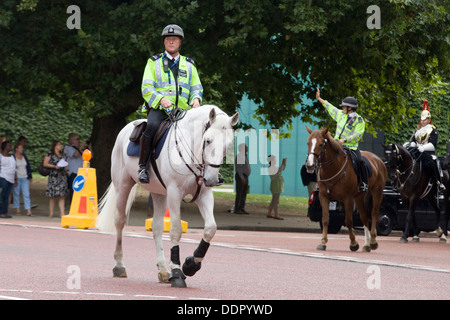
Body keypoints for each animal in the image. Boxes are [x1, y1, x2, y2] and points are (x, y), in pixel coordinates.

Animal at [95, 105, 239, 288]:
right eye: (208, 140)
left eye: (229, 144)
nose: (212, 179)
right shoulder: (174, 193)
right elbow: (176, 230)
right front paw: (177, 272)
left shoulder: (204, 194)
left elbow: (210, 228)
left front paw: (191, 264)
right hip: (123, 186)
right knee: (119, 221)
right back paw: (119, 266)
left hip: (158, 194)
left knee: (156, 227)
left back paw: (163, 270)